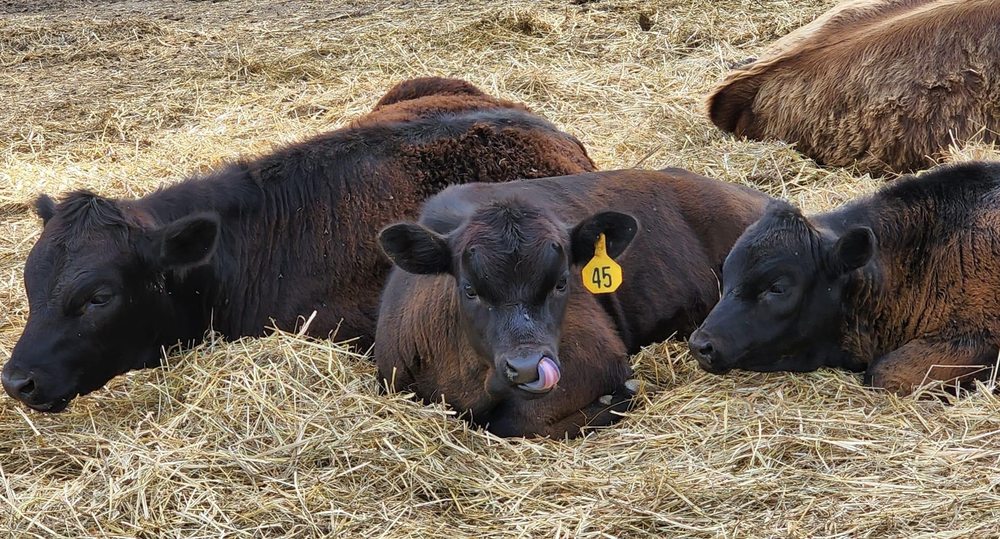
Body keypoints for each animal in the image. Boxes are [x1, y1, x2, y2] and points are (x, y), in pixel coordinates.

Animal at [375, 168, 772, 437]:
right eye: (470, 289)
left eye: (562, 282)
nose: (527, 368)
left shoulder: (596, 359)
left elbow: (518, 422)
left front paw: (617, 399)